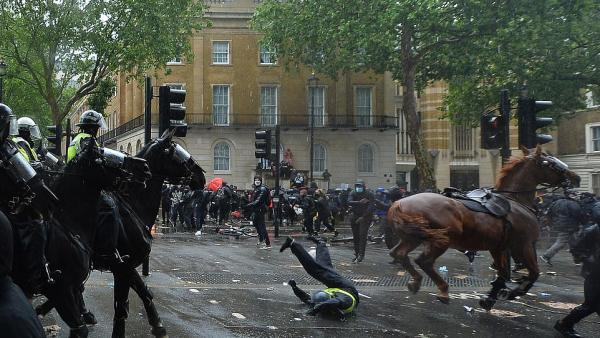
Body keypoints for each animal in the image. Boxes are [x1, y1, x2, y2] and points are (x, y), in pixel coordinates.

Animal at [386, 146, 580, 308]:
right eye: (552, 163)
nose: (576, 178)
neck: (515, 200)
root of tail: (399, 204)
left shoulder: (499, 247)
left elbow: (503, 273)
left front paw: (490, 298)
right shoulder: (524, 245)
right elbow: (534, 273)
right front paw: (512, 293)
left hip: (414, 238)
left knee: (399, 253)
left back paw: (416, 281)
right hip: (441, 239)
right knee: (423, 261)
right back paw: (443, 290)